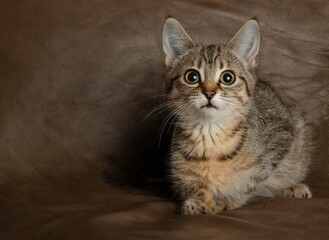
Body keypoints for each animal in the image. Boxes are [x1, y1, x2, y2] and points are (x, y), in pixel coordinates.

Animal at [161, 17, 312, 215]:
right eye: (192, 76)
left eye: (227, 78)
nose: (209, 93)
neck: (210, 134)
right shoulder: (179, 172)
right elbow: (190, 184)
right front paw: (199, 200)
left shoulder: (283, 136)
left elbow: (252, 180)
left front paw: (227, 199)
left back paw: (293, 187)